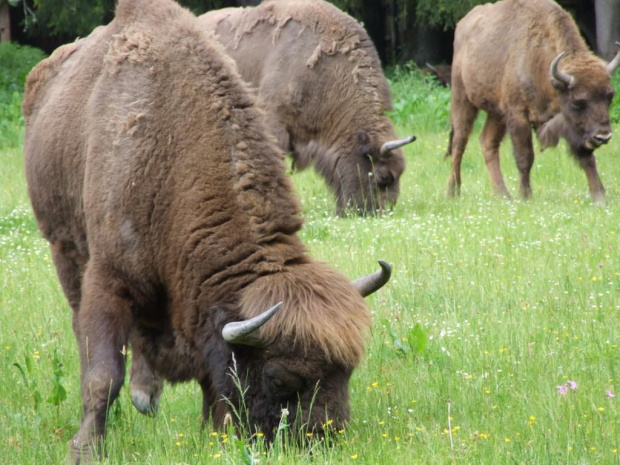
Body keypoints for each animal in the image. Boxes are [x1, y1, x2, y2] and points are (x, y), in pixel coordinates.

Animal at [25, 0, 392, 460]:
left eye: (347, 371)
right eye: (281, 379)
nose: (322, 440)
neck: (170, 150)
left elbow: (207, 376)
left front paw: (210, 434)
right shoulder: (109, 279)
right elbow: (103, 373)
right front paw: (86, 450)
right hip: (63, 248)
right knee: (84, 332)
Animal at [448, 0, 616, 201]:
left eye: (610, 97)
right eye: (578, 101)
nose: (603, 136)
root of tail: (463, 24)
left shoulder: (569, 124)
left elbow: (587, 157)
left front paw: (600, 197)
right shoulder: (518, 116)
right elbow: (525, 156)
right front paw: (525, 195)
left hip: (497, 113)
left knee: (487, 142)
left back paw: (503, 194)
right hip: (463, 99)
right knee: (459, 143)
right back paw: (452, 192)